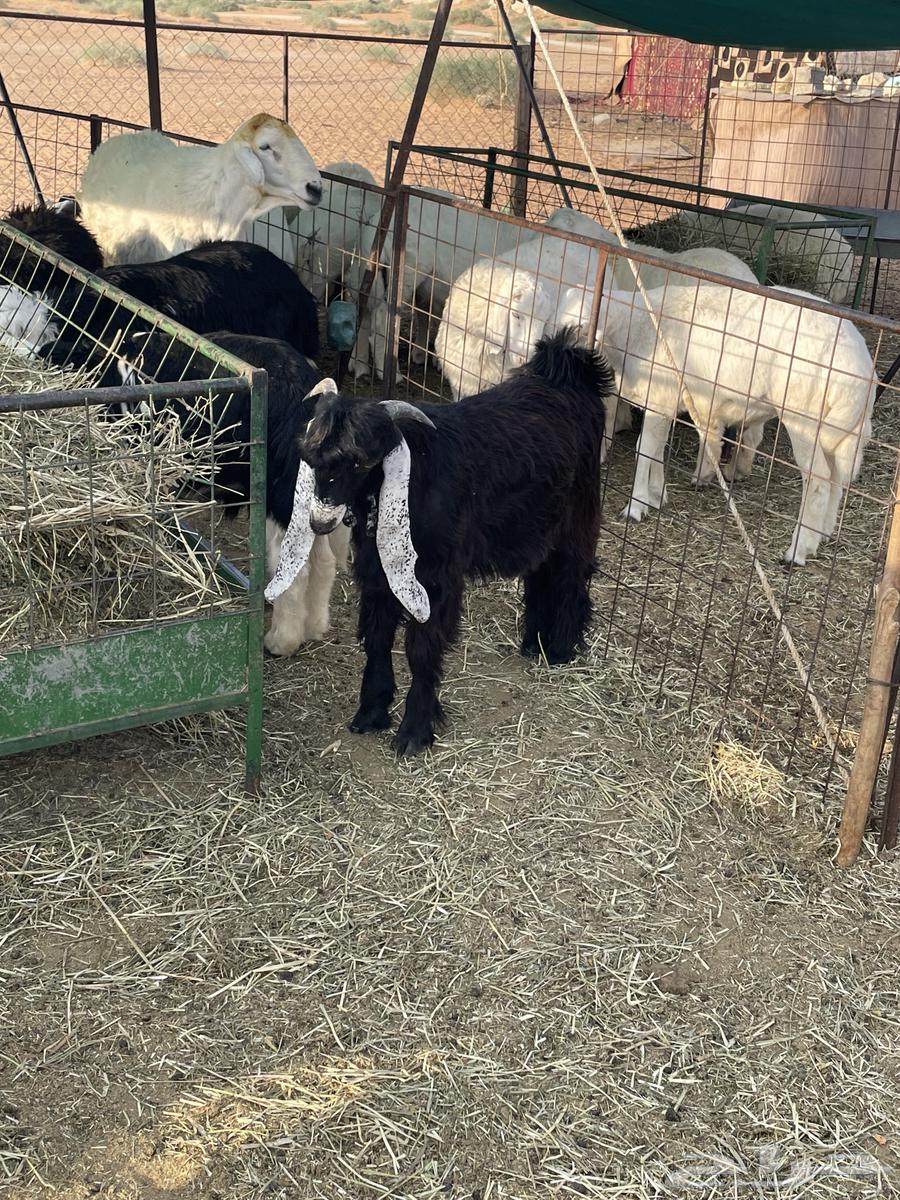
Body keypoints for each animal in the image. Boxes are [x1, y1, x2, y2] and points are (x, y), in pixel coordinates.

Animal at [265, 327, 615, 755]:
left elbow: (421, 650)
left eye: (360, 461)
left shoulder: (434, 580)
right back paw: (535, 643)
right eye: (311, 458)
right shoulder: (377, 574)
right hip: (537, 522)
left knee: (571, 575)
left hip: (578, 517)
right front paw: (371, 713)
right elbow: (377, 638)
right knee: (541, 574)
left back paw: (562, 648)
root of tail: (567, 372)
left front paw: (414, 732)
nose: (319, 519)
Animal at [560, 281, 876, 566]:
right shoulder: (663, 402)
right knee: (836, 478)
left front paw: (636, 505)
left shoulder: (659, 397)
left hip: (805, 417)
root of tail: (860, 368)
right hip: (839, 430)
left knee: (819, 481)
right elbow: (658, 449)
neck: (633, 328)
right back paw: (820, 535)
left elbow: (644, 450)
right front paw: (657, 494)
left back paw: (798, 550)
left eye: (583, 326)